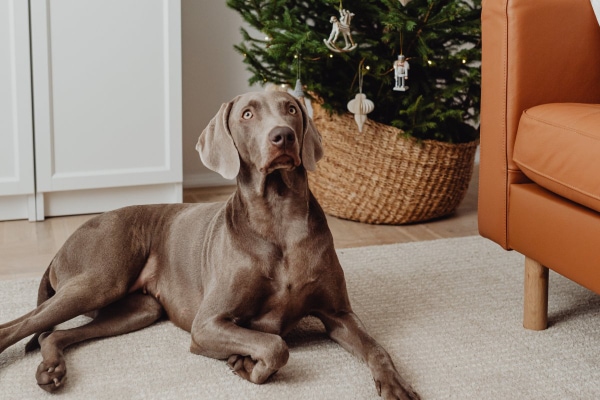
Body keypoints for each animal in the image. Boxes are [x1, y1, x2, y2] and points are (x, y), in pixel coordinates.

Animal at [0, 91, 420, 400]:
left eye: (290, 109)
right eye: (248, 114)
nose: (282, 135)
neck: (279, 217)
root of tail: (66, 242)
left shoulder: (338, 314)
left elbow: (376, 347)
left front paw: (397, 385)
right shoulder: (207, 324)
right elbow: (275, 345)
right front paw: (246, 364)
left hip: (141, 309)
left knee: (54, 333)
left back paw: (52, 368)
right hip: (100, 277)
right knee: (18, 326)